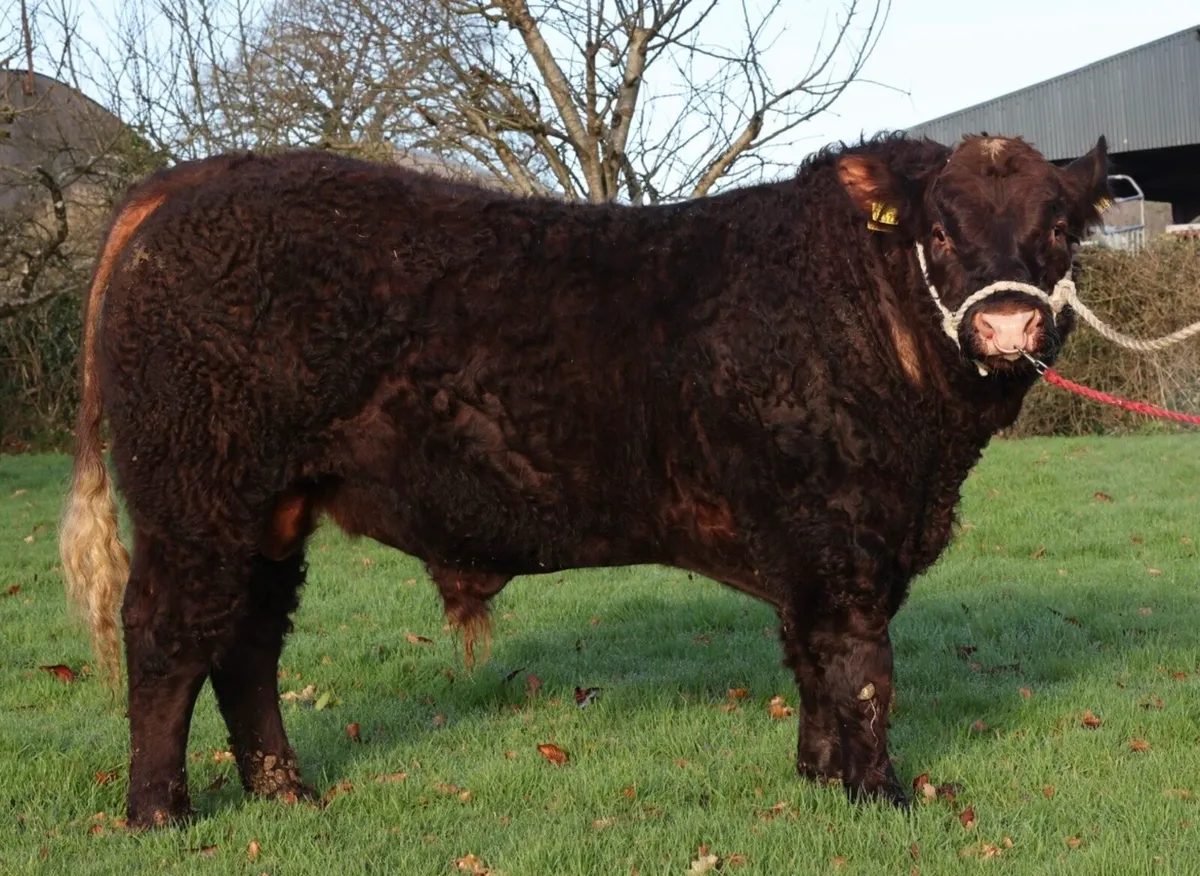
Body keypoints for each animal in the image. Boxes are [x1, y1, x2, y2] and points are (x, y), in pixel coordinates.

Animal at [59, 131, 1111, 829]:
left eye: (1059, 226)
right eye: (942, 227)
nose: (1007, 324)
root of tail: (208, 175)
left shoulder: (819, 543)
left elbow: (813, 662)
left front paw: (819, 779)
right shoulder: (839, 532)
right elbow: (859, 670)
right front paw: (880, 796)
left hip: (270, 508)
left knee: (245, 641)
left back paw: (284, 792)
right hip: (196, 493)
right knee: (168, 637)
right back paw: (159, 813)